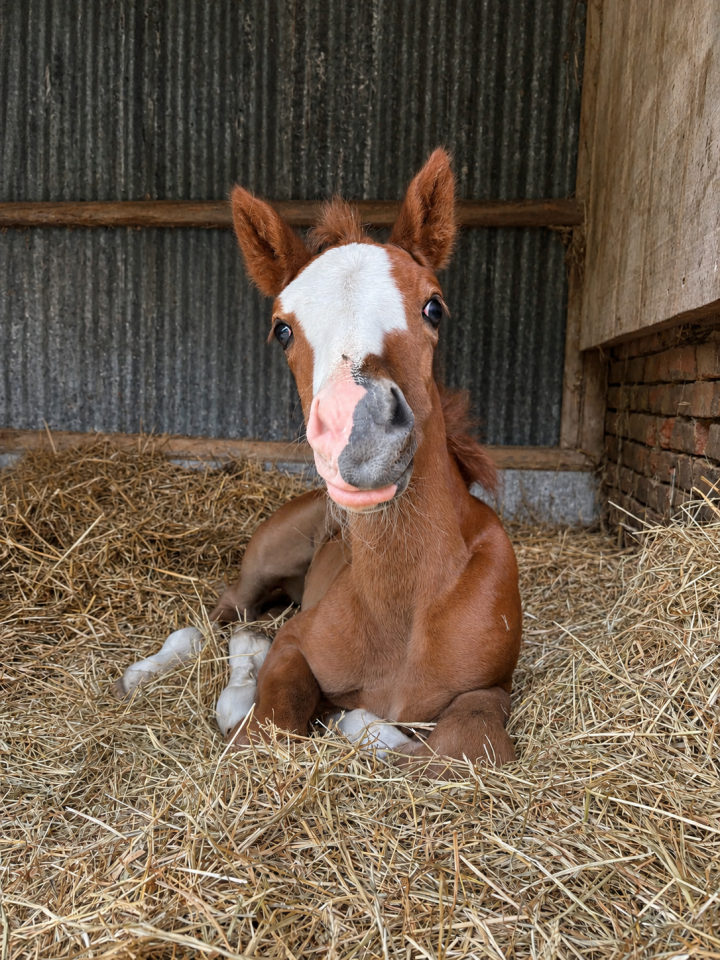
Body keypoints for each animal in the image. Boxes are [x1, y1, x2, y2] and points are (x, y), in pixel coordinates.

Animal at [114, 149, 523, 773]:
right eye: (281, 329)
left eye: (434, 306)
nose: (362, 438)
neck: (406, 610)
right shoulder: (296, 645)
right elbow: (271, 723)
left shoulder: (492, 687)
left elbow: (471, 743)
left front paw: (366, 729)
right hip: (265, 561)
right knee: (219, 618)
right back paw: (148, 672)